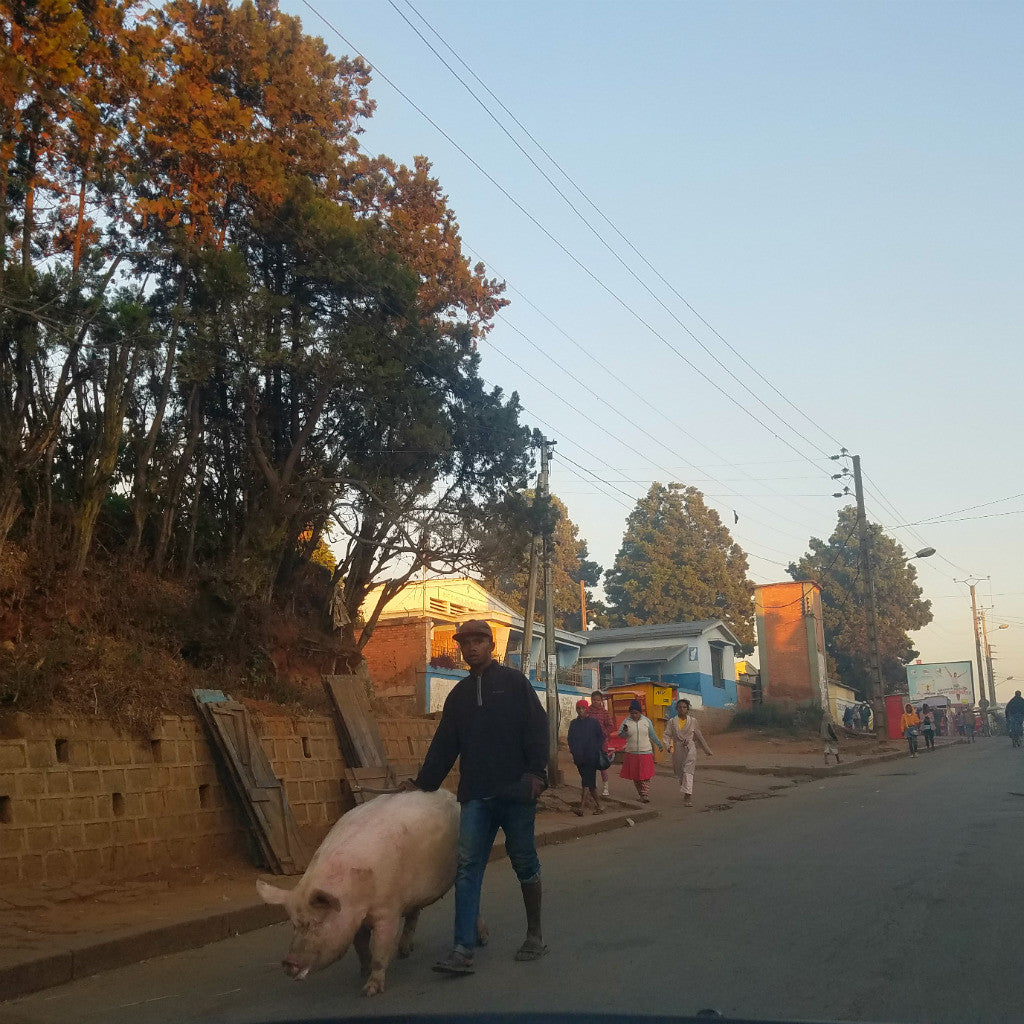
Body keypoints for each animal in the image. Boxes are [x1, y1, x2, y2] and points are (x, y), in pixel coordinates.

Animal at [258, 786, 462, 995]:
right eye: (294, 924)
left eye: (316, 923)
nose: (287, 962)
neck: (355, 898)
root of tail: (449, 793)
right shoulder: (353, 921)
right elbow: (361, 947)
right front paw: (363, 971)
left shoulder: (388, 911)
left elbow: (381, 949)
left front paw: (369, 990)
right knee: (414, 914)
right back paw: (404, 952)